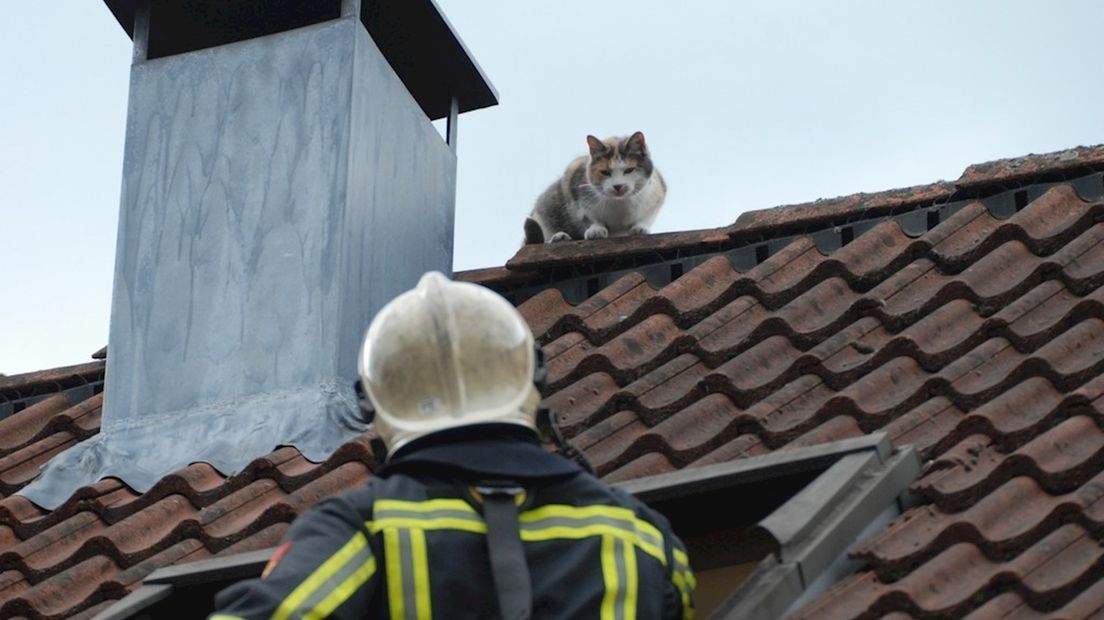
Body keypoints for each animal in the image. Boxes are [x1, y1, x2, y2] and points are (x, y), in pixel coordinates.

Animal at [523, 131, 666, 242]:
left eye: (629, 170)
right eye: (605, 172)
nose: (618, 186)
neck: (620, 204)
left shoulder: (658, 193)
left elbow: (647, 216)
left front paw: (640, 227)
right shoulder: (574, 182)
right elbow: (588, 217)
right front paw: (596, 229)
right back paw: (559, 237)